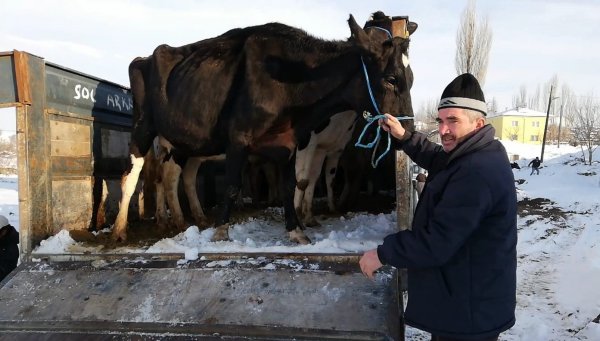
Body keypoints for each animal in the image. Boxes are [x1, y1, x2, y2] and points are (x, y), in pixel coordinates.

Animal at [112, 11, 418, 244]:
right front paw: (221, 231)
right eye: (392, 79)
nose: (408, 131)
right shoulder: (239, 138)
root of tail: (145, 57)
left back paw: (184, 218)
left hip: (184, 143)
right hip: (143, 126)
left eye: (411, 78)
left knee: (175, 176)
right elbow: (232, 186)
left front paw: (296, 230)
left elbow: (290, 184)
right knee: (133, 175)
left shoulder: (290, 142)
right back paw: (120, 229)